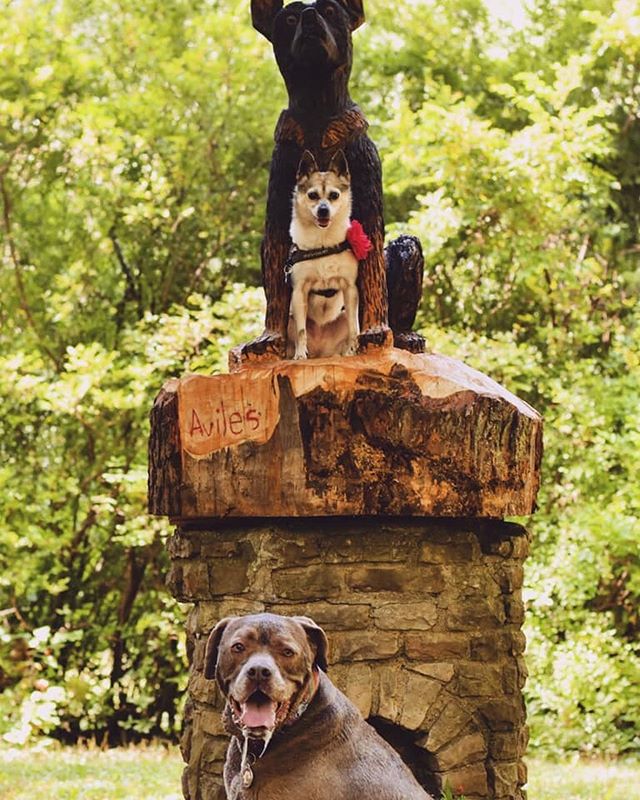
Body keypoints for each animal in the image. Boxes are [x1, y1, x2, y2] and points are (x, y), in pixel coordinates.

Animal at [288, 149, 362, 360]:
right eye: (312, 195)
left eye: (334, 195)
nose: (323, 210)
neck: (323, 241)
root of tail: (322, 353)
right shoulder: (299, 291)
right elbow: (301, 331)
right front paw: (299, 355)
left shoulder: (350, 288)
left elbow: (354, 328)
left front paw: (351, 351)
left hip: (343, 316)